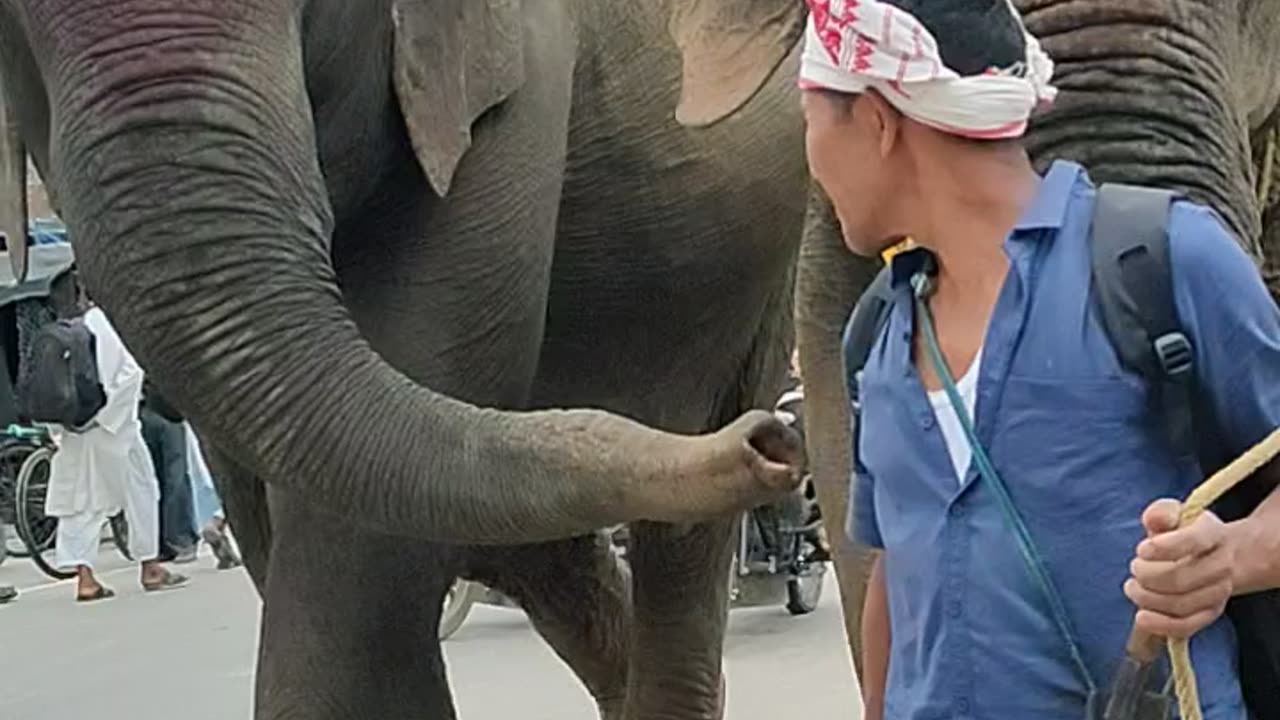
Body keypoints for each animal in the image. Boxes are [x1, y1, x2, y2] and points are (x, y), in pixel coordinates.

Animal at [0, 0, 837, 718]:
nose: (771, 441)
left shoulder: (513, 86)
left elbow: (356, 561)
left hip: (756, 279)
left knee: (676, 555)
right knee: (542, 548)